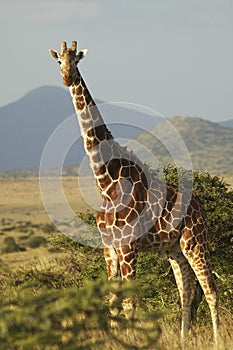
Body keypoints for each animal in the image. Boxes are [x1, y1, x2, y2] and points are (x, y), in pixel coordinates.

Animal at [50, 41, 219, 344]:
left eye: (76, 60)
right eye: (59, 61)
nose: (67, 77)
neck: (106, 184)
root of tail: (201, 207)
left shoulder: (129, 246)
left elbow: (130, 303)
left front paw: (130, 340)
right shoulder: (109, 248)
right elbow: (112, 301)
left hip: (195, 241)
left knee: (211, 289)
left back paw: (218, 339)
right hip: (173, 248)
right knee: (187, 292)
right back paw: (182, 340)